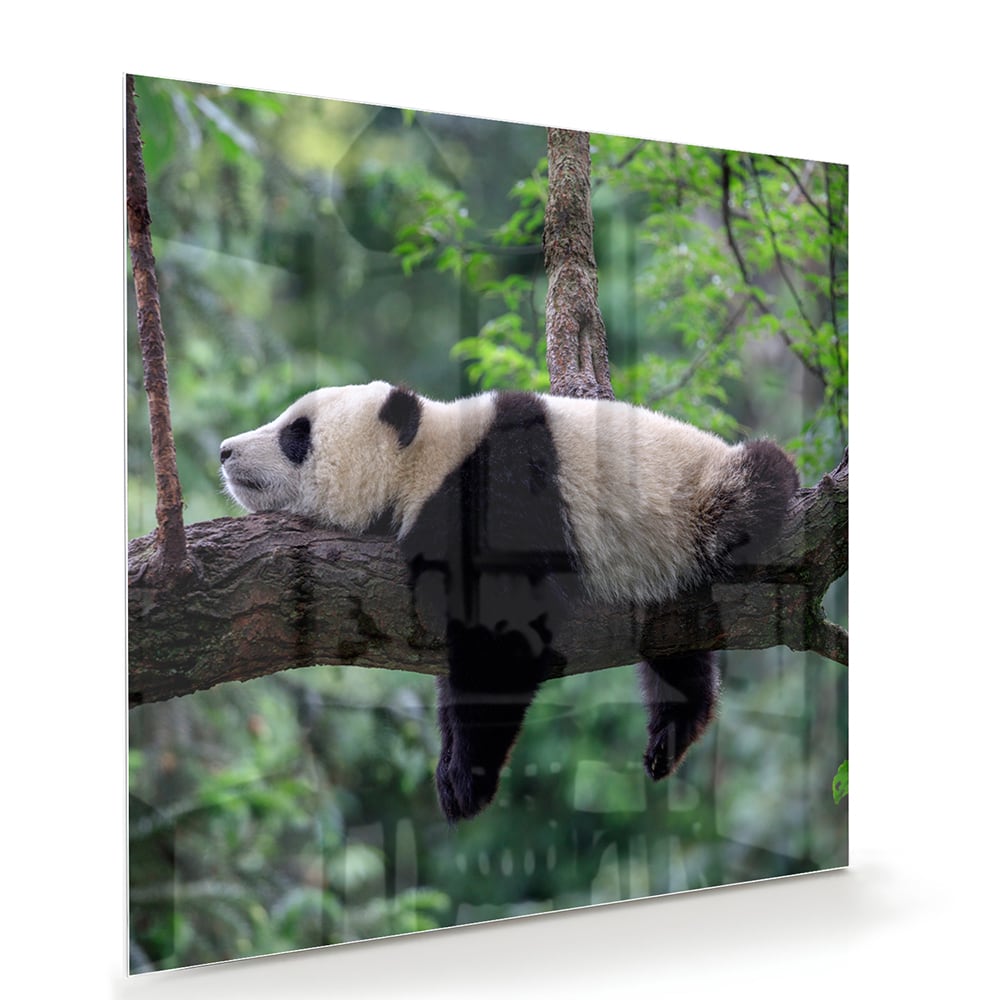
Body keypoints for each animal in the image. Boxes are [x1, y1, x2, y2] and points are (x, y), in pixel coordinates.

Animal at [220, 380, 798, 823]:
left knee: (760, 481)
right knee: (677, 653)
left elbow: (505, 636)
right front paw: (450, 766)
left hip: (700, 500)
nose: (225, 450)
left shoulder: (500, 494)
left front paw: (466, 781)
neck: (425, 458)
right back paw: (673, 732)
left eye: (297, 434)